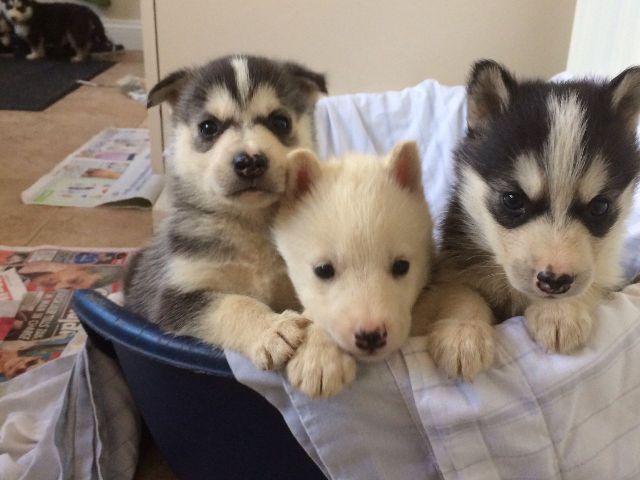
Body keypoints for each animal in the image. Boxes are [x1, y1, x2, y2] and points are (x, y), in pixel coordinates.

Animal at [123, 55, 328, 372]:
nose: (250, 161)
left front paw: (320, 355)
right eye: (209, 127)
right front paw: (271, 330)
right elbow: (234, 303)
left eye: (280, 122)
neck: (250, 224)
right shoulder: (174, 297)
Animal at [416, 60, 640, 380]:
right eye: (512, 200)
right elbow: (461, 294)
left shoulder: (604, 269)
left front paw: (561, 312)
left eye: (600, 206)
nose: (555, 281)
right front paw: (462, 334)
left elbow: (592, 281)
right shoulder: (453, 269)